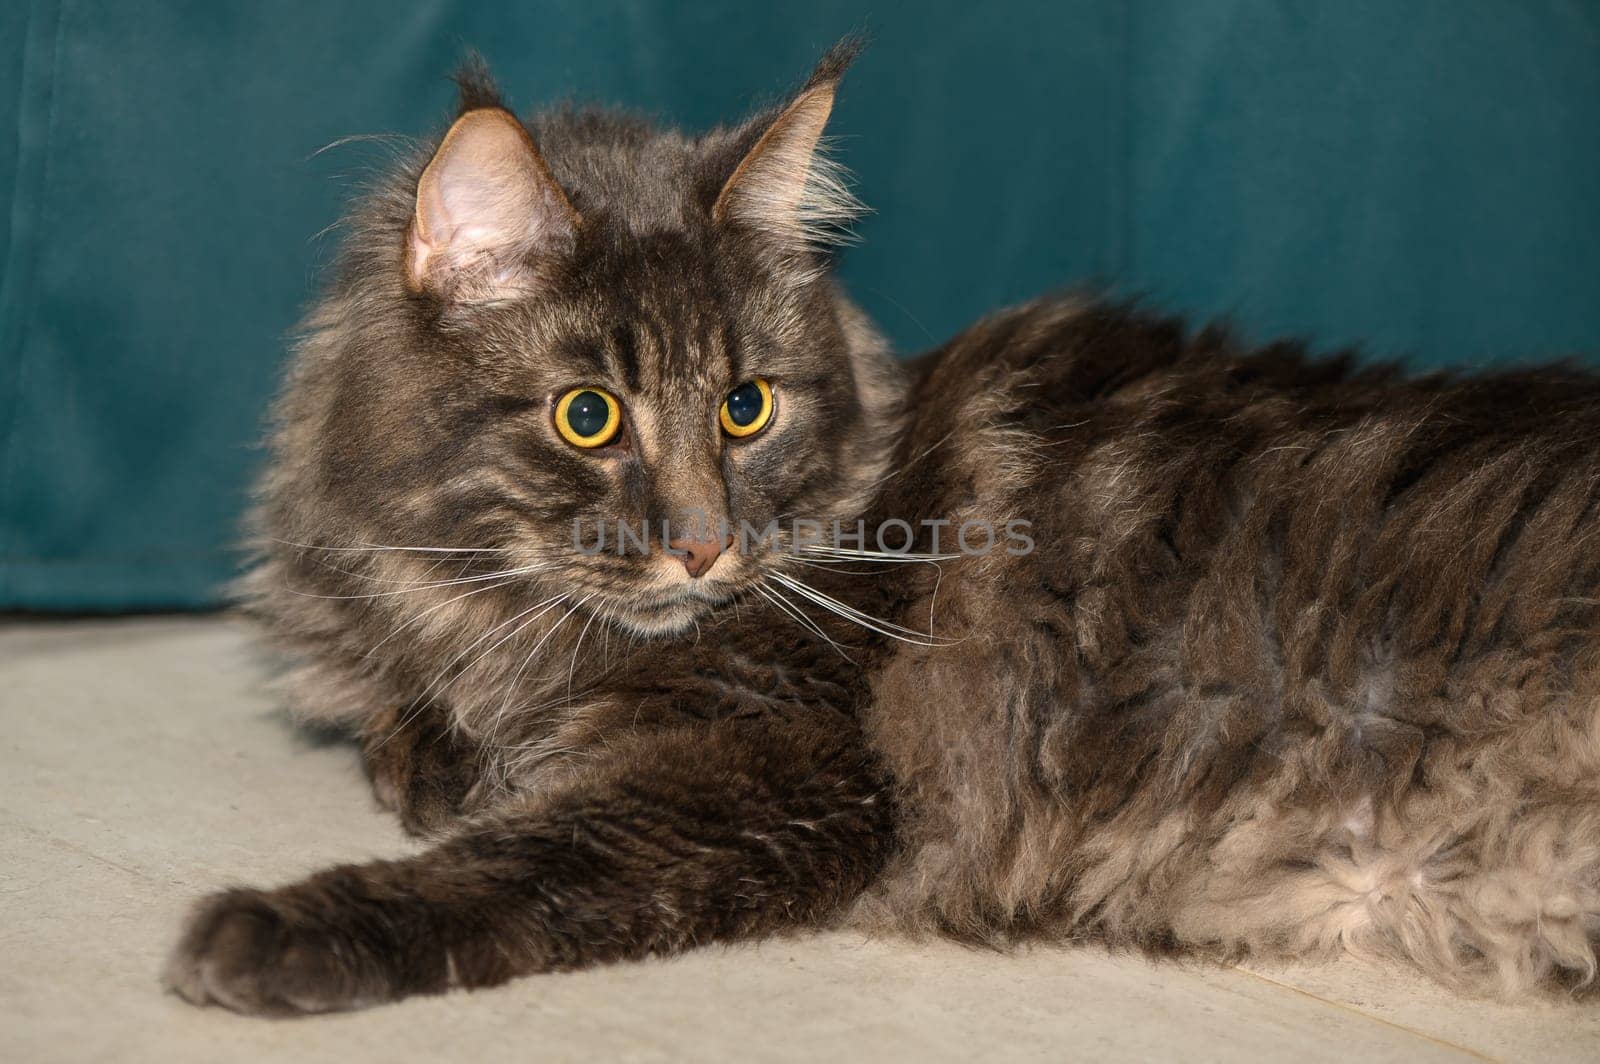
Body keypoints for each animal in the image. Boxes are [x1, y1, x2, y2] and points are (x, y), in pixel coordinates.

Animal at [159, 43, 1600, 1011]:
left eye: (744, 406)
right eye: (588, 416)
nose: (704, 544)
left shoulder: (771, 766)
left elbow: (525, 856)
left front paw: (279, 929)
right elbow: (421, 751)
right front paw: (444, 752)